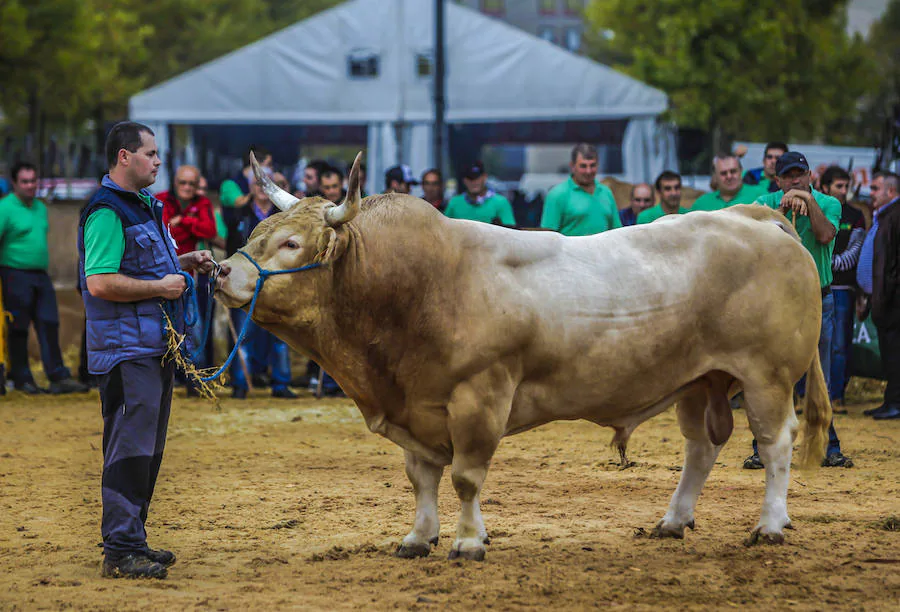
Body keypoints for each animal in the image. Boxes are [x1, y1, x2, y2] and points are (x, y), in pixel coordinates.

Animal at [216, 153, 828, 560]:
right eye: (257, 228)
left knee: (776, 444)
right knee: (700, 448)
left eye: (292, 243)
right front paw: (419, 537)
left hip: (767, 377)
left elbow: (465, 476)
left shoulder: (479, 397)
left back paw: (770, 526)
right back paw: (673, 521)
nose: (218, 269)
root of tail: (755, 216)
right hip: (700, 381)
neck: (419, 285)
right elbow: (420, 477)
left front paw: (467, 541)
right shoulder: (416, 404)